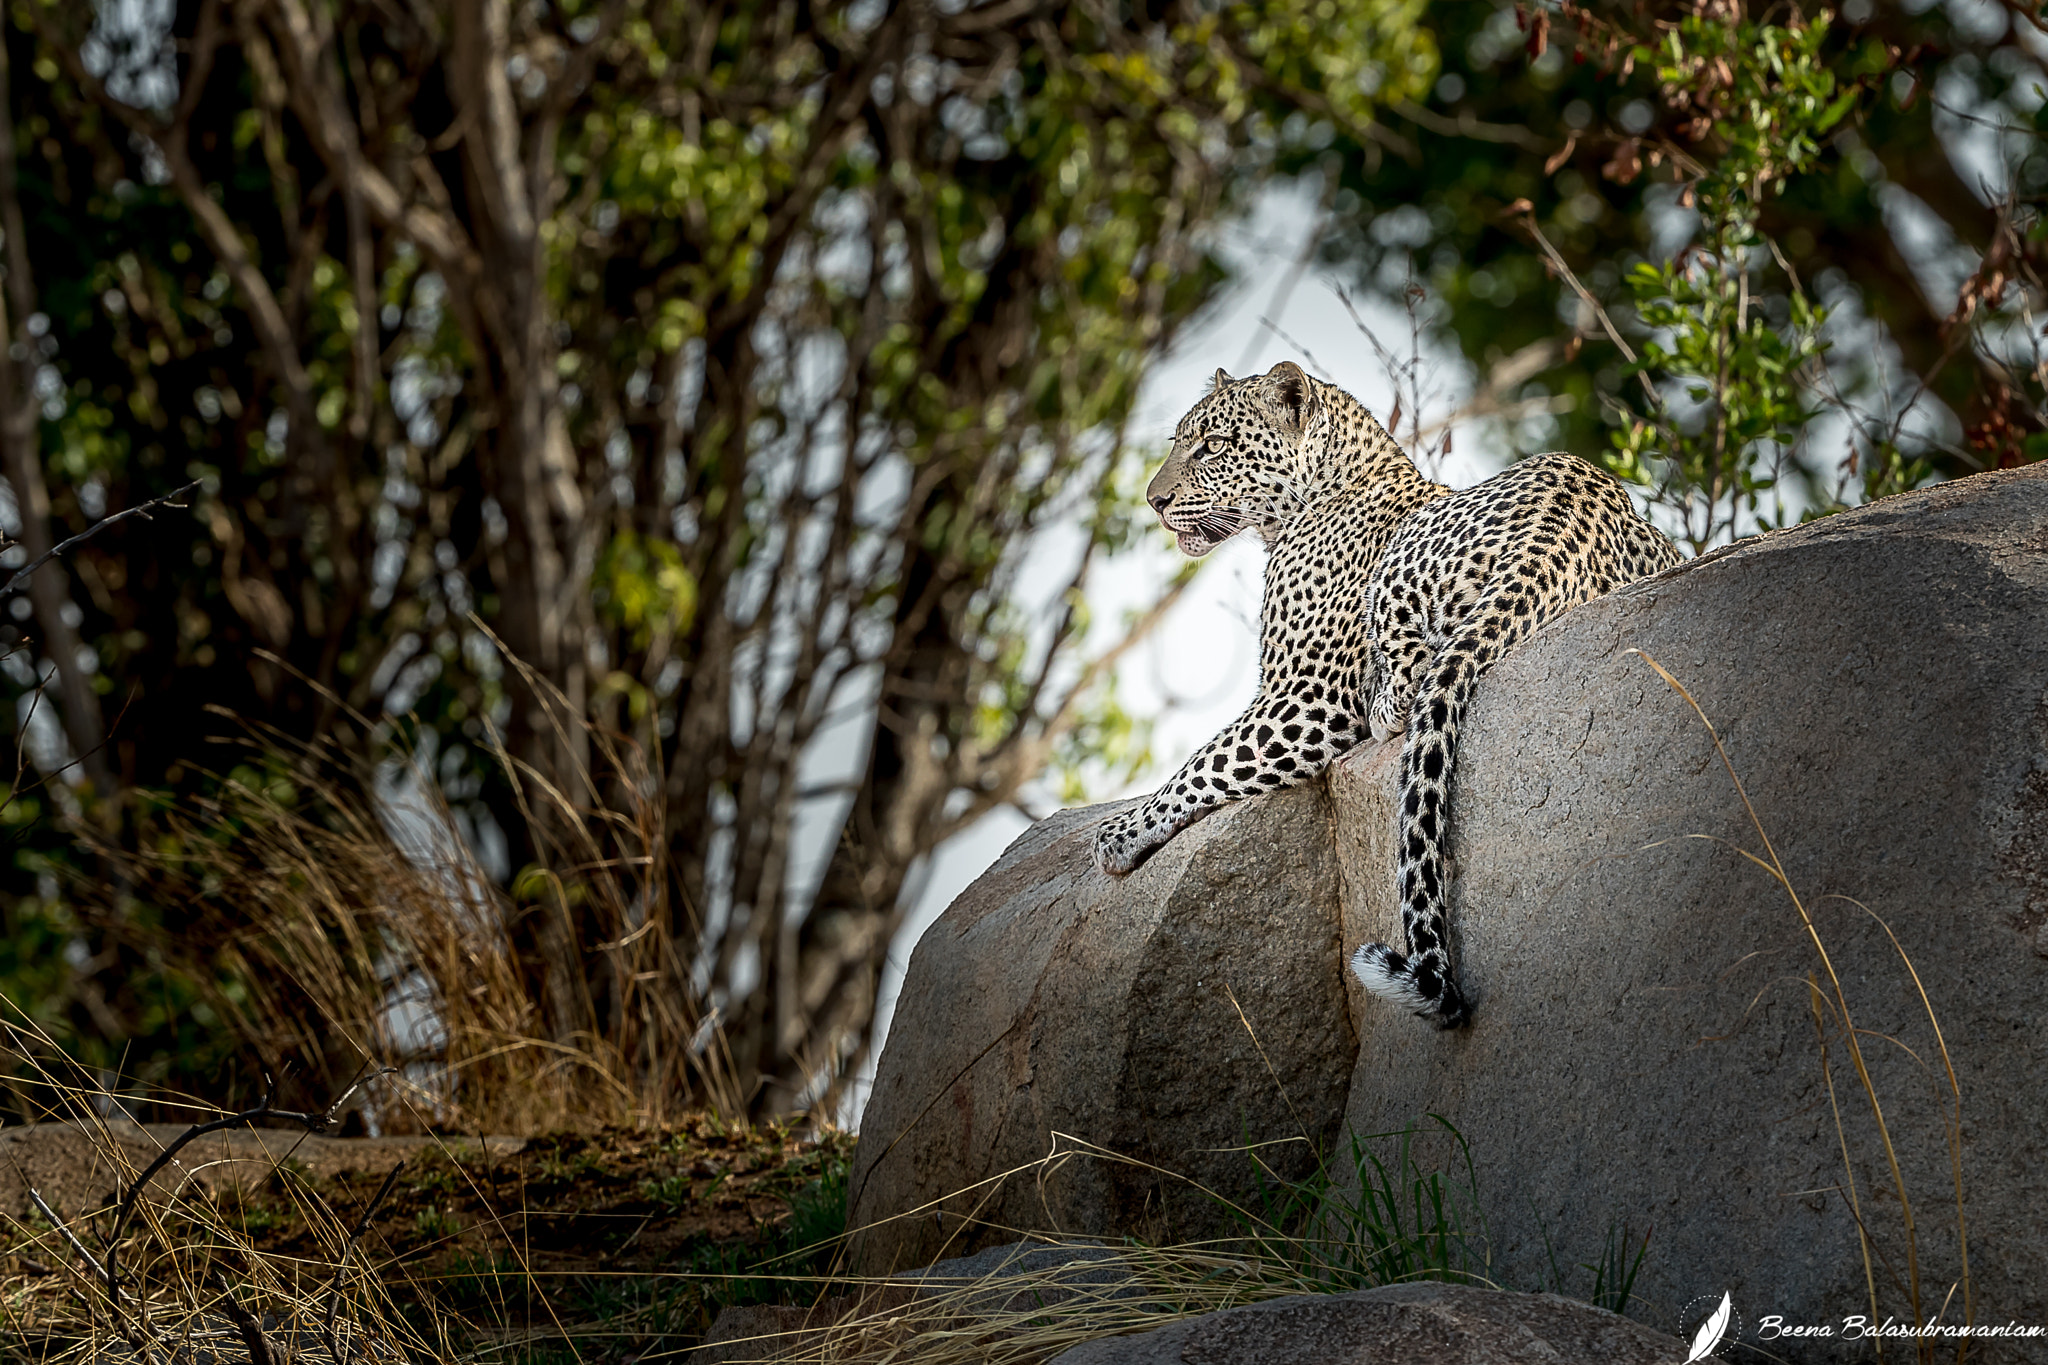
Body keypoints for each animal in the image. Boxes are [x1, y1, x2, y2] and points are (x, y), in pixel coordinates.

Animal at [1089, 360, 1679, 1023]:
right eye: (1178, 441)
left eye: (1213, 446)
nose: (1153, 500)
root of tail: (1565, 531)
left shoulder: (1308, 693)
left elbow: (1205, 761)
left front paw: (1119, 835)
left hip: (1403, 574)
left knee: (1413, 679)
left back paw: (1387, 708)